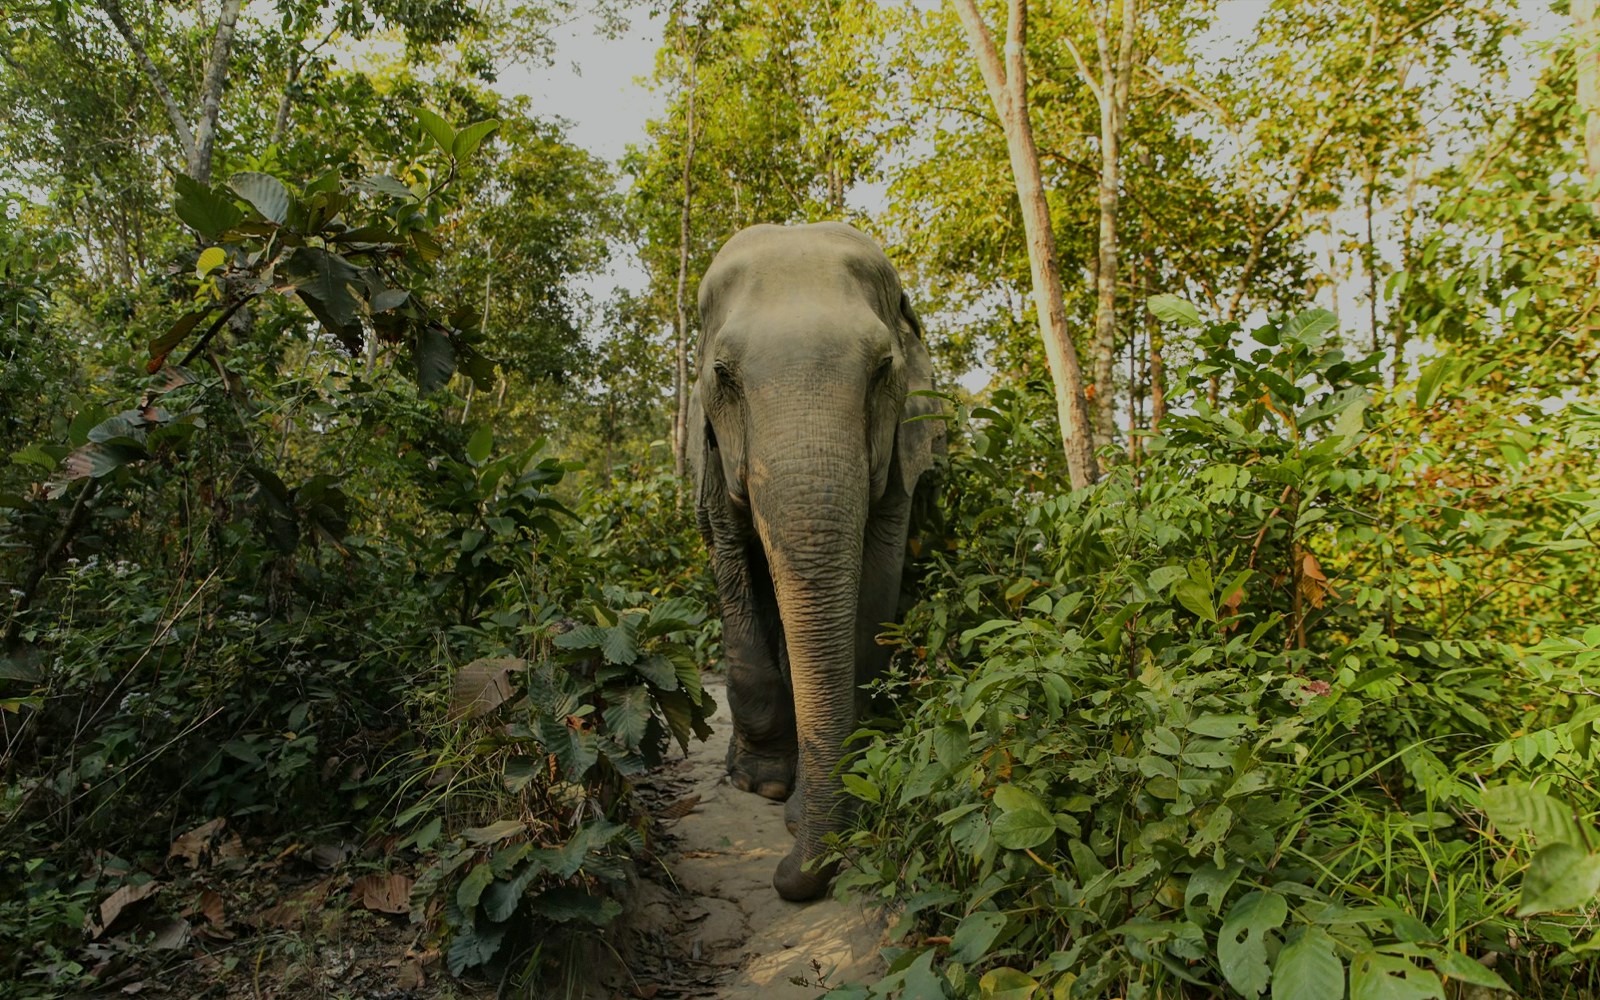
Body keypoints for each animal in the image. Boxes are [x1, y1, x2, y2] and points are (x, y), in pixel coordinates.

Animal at [688, 222, 943, 901]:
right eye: (723, 376)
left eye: (883, 370)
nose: (783, 875)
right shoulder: (714, 459)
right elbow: (733, 564)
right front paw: (766, 785)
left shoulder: (903, 448)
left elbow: (875, 589)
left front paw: (810, 809)